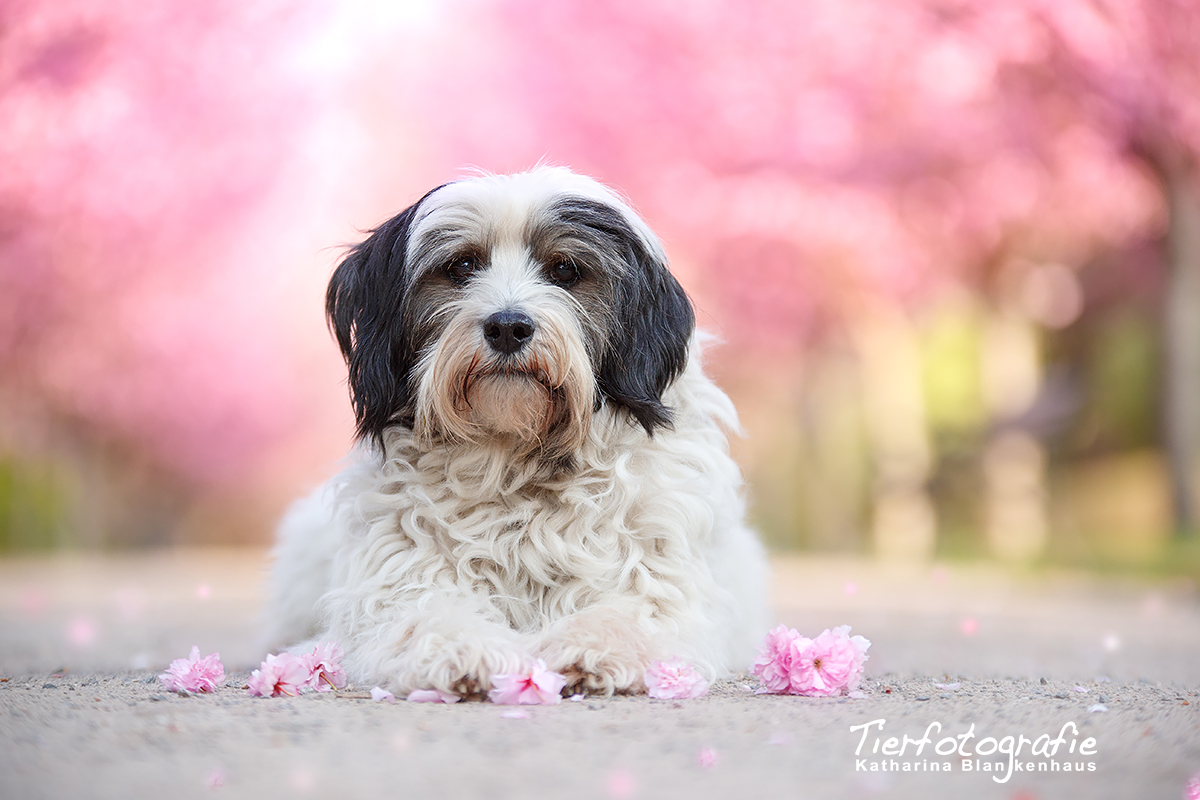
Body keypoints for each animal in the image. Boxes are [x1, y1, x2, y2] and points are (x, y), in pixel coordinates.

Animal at [266, 165, 763, 695]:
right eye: (461, 266)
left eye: (564, 270)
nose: (507, 327)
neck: (515, 462)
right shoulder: (393, 587)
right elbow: (423, 614)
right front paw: (465, 650)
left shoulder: (661, 586)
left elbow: (633, 613)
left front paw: (591, 646)